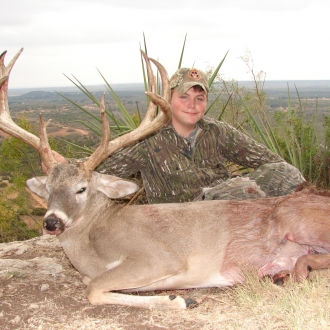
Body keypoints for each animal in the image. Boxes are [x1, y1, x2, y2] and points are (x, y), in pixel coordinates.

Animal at [1, 48, 330, 310]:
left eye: (81, 188)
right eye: (47, 189)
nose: (51, 222)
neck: (95, 241)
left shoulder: (158, 257)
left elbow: (93, 289)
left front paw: (179, 299)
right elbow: (91, 284)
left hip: (299, 220)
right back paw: (284, 273)